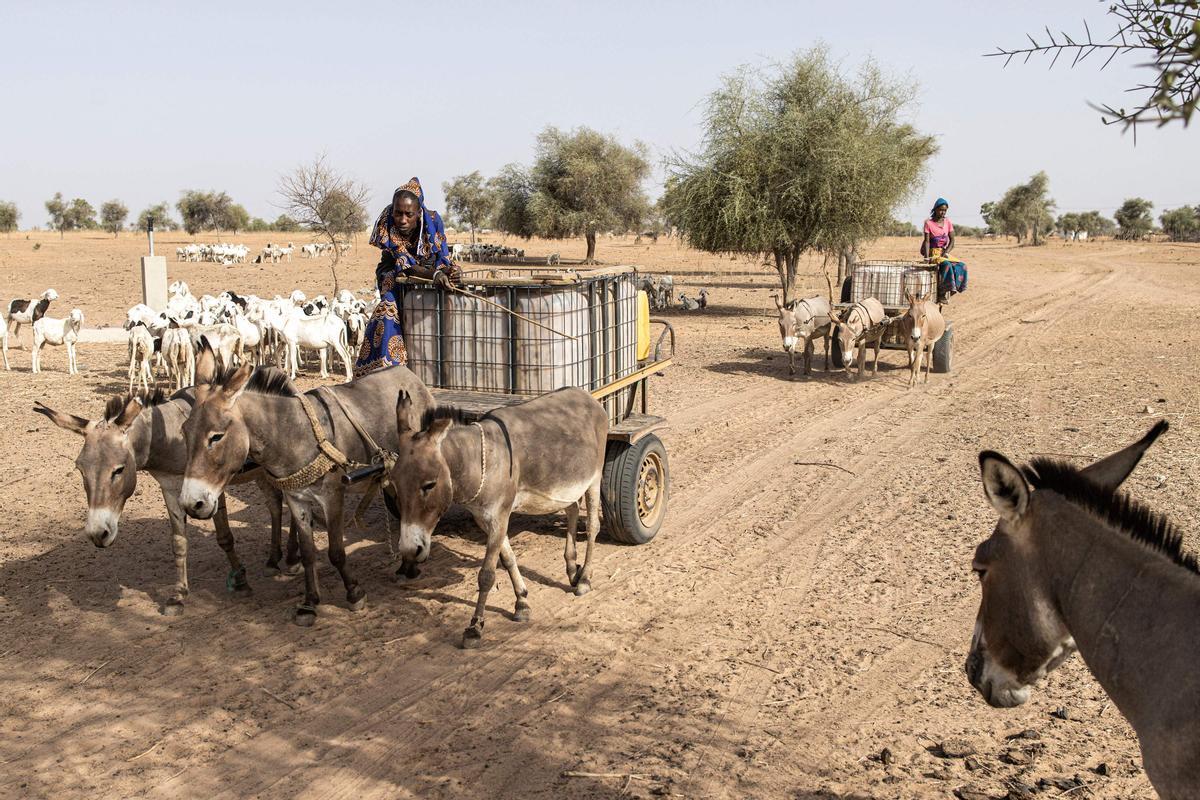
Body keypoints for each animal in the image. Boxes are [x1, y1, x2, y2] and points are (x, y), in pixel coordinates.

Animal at [388, 388, 604, 652]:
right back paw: (573, 570)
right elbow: (508, 559)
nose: (409, 550)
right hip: (563, 489)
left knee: (593, 527)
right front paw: (522, 602)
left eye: (429, 485)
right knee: (572, 509)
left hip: (595, 478)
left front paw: (475, 627)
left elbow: (486, 575)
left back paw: (584, 579)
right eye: (394, 486)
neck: (480, 462)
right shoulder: (486, 519)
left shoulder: (499, 517)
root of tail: (586, 395)